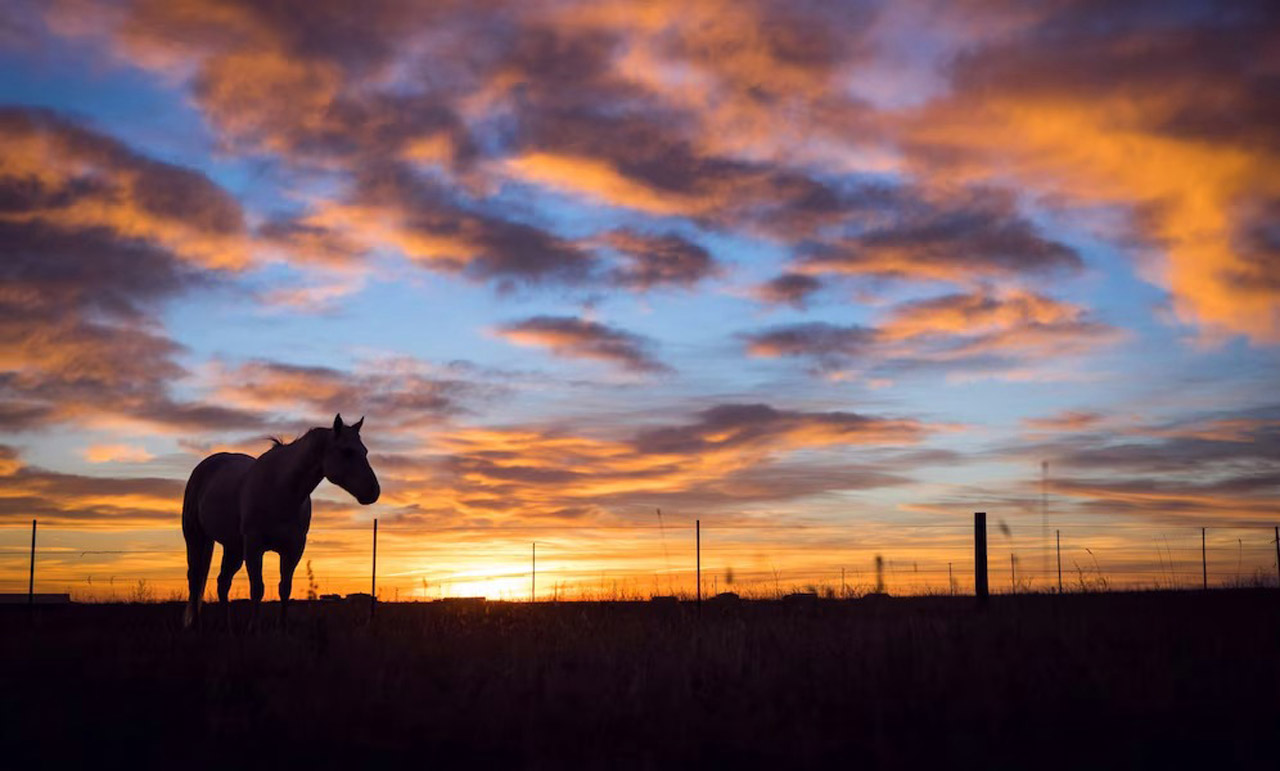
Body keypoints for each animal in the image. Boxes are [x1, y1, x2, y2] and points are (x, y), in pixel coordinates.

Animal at [183, 414, 378, 624]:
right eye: (347, 451)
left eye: (365, 451)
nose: (374, 491)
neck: (280, 490)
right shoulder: (254, 546)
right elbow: (257, 589)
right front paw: (253, 628)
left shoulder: (293, 549)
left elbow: (285, 589)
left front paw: (282, 627)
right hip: (195, 536)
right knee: (195, 578)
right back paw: (196, 625)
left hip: (234, 547)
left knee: (223, 582)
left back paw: (228, 627)